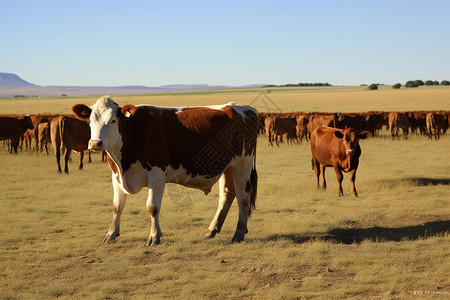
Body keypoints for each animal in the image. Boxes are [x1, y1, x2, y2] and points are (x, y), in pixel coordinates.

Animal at [72, 96, 258, 246]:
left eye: (112, 121)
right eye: (90, 121)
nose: (95, 143)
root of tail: (244, 109)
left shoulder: (157, 175)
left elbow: (152, 207)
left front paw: (154, 237)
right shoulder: (116, 175)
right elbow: (117, 206)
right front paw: (111, 234)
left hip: (242, 163)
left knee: (243, 197)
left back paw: (238, 233)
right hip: (228, 167)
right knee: (227, 195)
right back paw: (211, 231)